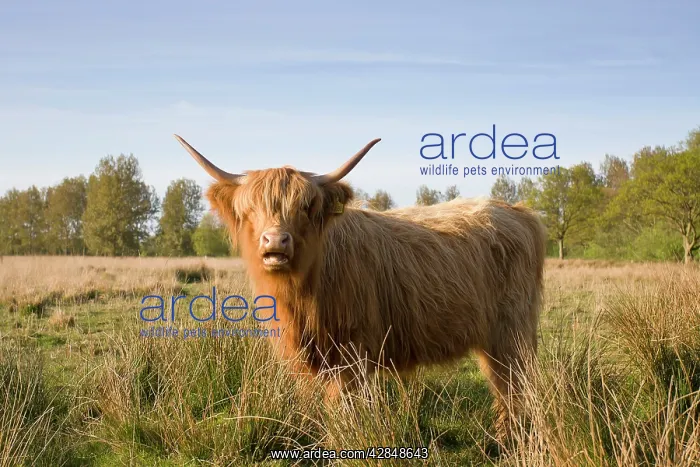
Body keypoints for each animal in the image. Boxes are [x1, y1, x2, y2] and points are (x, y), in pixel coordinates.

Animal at [174, 134, 547, 440]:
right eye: (250, 208)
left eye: (306, 207)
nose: (276, 241)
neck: (305, 293)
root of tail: (517, 211)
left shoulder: (354, 350)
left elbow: (346, 407)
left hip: (511, 330)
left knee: (513, 384)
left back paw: (508, 441)